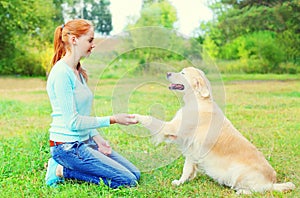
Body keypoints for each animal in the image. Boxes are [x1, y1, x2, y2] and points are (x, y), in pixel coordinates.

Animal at [136, 67, 296, 194]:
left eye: (183, 73)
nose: (167, 73)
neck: (199, 101)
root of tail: (272, 181)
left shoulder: (173, 128)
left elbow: (152, 120)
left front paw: (136, 117)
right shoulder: (190, 146)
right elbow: (187, 169)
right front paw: (181, 182)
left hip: (239, 173)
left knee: (258, 190)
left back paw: (242, 191)